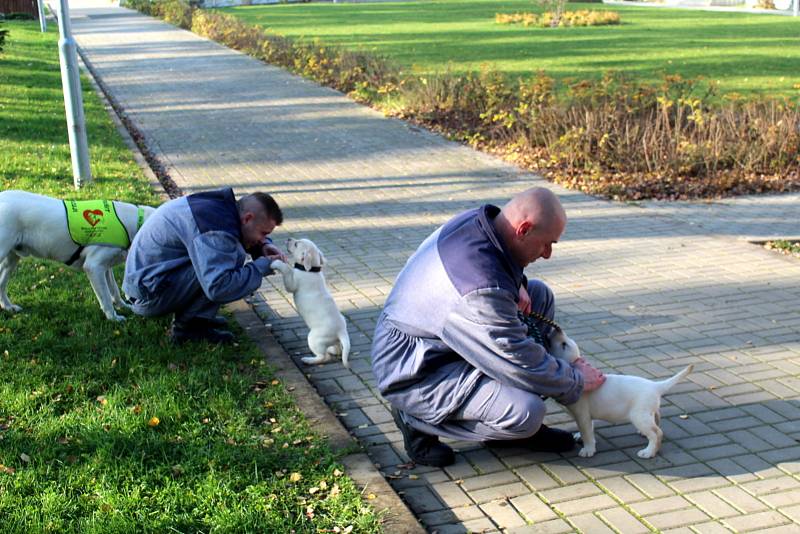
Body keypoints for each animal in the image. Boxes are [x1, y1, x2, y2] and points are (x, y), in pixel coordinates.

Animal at [0, 189, 155, 322]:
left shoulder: (105, 267)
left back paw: (8, 307)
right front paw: (113, 318)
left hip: (11, 259)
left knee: (1, 283)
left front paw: (123, 306)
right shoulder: (94, 267)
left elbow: (114, 290)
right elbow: (105, 298)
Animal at [272, 239, 350, 368]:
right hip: (331, 339)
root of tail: (341, 331)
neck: (311, 270)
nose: (288, 239)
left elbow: (287, 269)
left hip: (314, 338)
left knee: (324, 357)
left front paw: (276, 263)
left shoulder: (292, 283)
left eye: (296, 244)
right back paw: (331, 350)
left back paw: (308, 360)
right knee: (337, 348)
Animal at [552, 328, 692, 458]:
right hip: (648, 412)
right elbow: (589, 428)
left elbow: (586, 432)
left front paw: (588, 449)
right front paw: (580, 437)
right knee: (656, 419)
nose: (556, 329)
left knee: (656, 433)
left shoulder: (582, 415)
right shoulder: (586, 416)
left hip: (638, 416)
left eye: (564, 344)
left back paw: (648, 452)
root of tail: (655, 386)